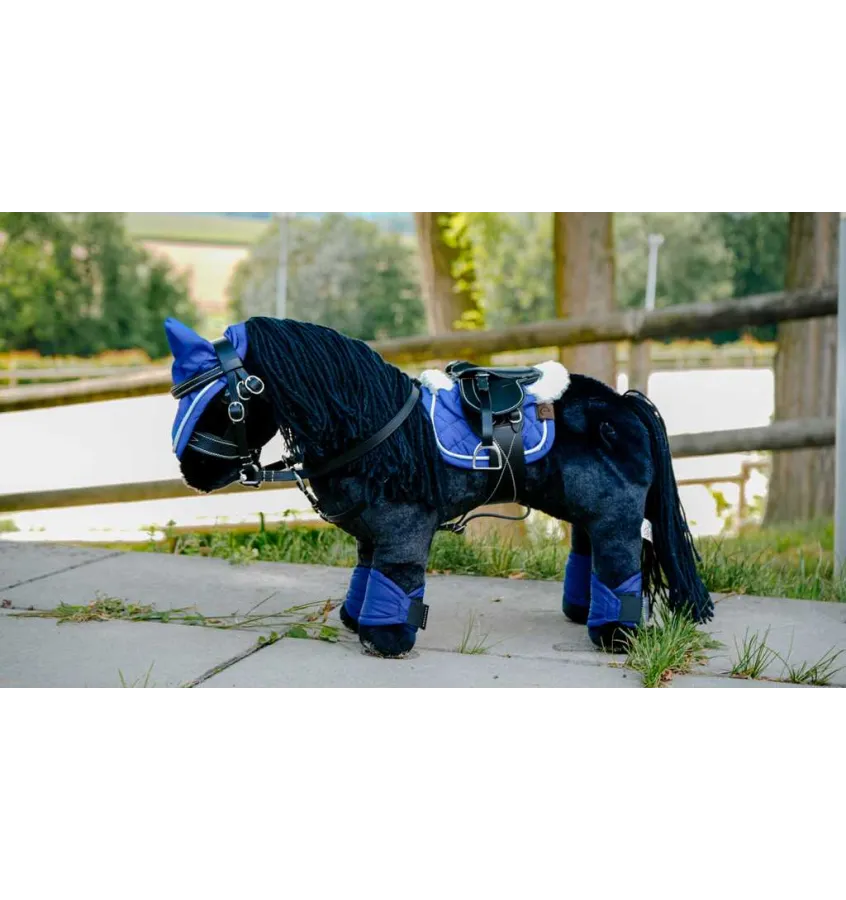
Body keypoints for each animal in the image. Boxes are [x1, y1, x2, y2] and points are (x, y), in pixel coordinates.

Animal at [165, 314, 714, 659]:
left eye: (225, 404)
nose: (191, 471)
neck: (376, 425)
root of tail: (623, 402)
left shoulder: (403, 529)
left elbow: (397, 579)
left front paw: (385, 639)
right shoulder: (372, 535)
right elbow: (366, 576)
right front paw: (355, 617)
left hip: (614, 512)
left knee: (621, 556)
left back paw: (616, 633)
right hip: (584, 507)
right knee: (591, 547)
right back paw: (582, 612)